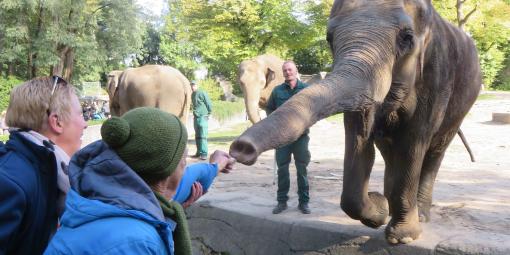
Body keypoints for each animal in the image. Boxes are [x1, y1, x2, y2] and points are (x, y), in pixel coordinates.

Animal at [229, 0, 480, 244]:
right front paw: (380, 210)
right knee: (389, 150)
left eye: (407, 38)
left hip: (462, 103)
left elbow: (413, 143)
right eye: (329, 38)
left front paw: (402, 237)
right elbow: (358, 138)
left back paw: (420, 215)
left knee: (435, 150)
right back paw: (390, 205)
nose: (241, 148)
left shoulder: (435, 78)